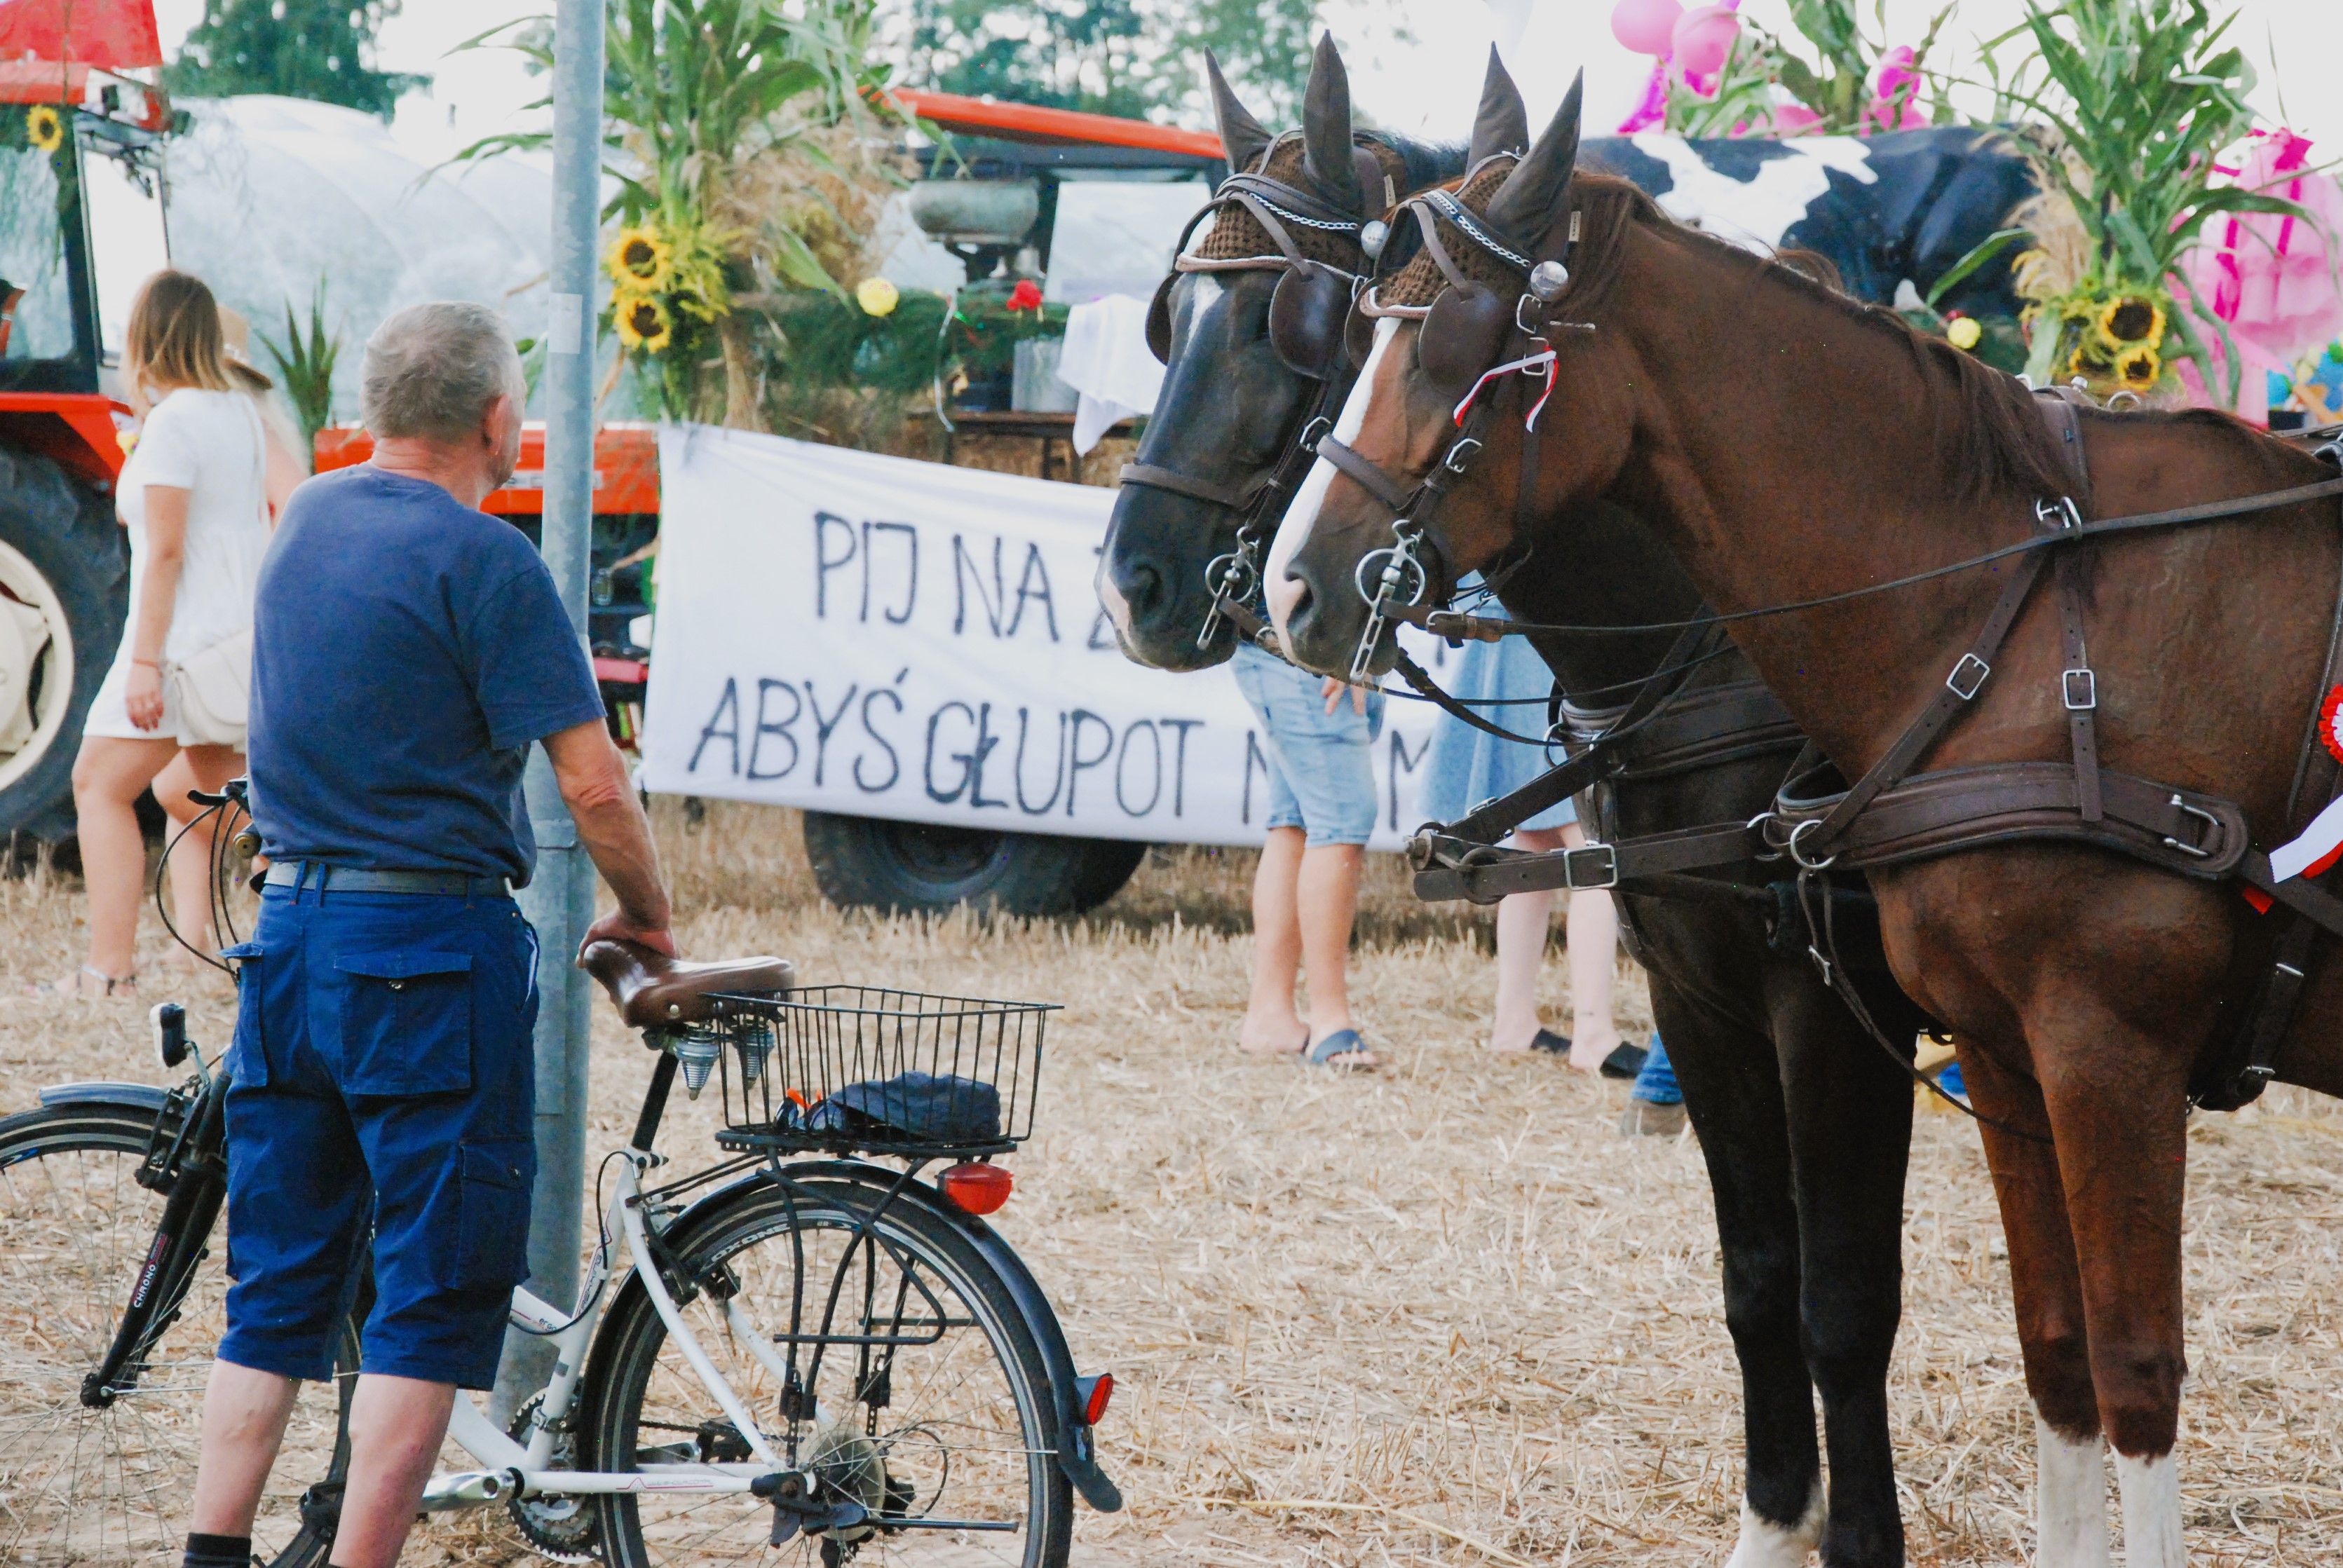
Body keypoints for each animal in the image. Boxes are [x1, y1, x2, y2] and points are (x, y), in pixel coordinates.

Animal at [1275, 86, 2343, 1565]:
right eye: (1346, 333)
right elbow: (2024, 1343)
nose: (1290, 587)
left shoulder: (2073, 1047)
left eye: (1454, 347)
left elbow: (2091, 1361)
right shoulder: (1973, 1044)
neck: (2027, 627)